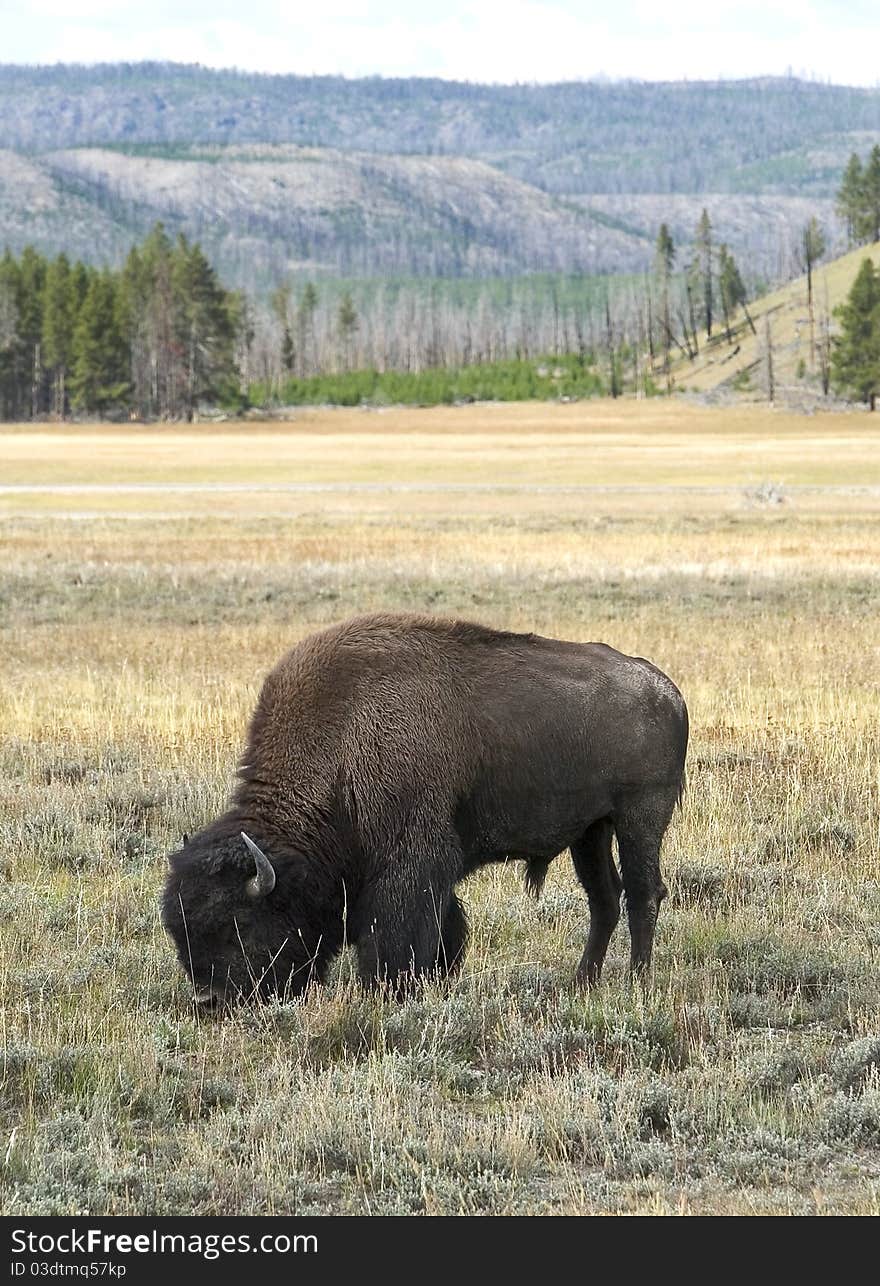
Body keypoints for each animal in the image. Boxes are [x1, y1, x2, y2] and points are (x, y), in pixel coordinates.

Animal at [163, 612, 689, 1003]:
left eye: (240, 925)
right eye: (179, 929)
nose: (208, 1000)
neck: (341, 742)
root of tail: (666, 689)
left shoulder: (411, 863)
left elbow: (400, 932)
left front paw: (391, 989)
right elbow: (443, 926)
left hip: (640, 817)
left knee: (643, 893)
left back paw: (637, 982)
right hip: (591, 831)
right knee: (604, 898)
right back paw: (583, 982)